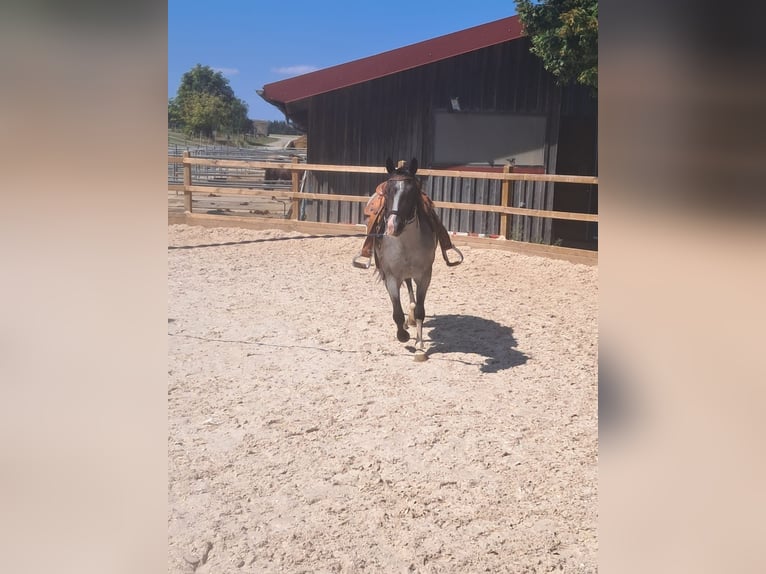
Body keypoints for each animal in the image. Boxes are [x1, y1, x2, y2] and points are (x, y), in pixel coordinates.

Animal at [373, 158, 437, 362]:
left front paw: (420, 347)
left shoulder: (424, 276)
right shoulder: (392, 278)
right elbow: (396, 313)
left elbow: (421, 310)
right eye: (387, 190)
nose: (393, 226)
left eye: (412, 191)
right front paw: (403, 335)